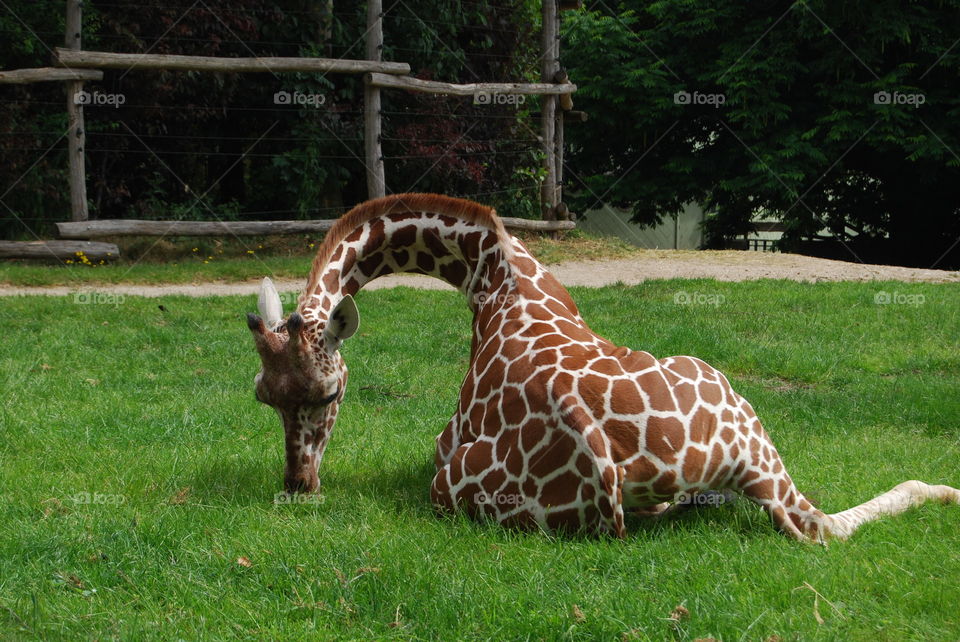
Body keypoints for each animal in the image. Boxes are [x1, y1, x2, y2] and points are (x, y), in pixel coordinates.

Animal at [249, 192, 960, 544]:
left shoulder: (442, 441)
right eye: (264, 397)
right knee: (815, 527)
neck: (490, 272)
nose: (299, 484)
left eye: (329, 392)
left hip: (448, 488)